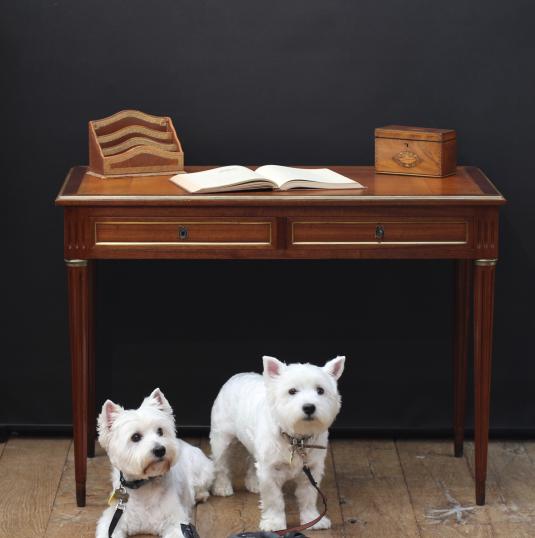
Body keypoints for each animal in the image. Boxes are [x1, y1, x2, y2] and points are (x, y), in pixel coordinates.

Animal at [96, 388, 214, 536]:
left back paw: (201, 495)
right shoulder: (113, 520)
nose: (160, 450)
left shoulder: (176, 523)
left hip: (201, 469)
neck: (144, 486)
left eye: (160, 431)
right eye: (135, 437)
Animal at [209, 354, 348, 528]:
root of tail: (238, 376)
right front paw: (274, 523)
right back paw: (222, 487)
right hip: (222, 439)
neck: (296, 439)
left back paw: (254, 483)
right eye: (292, 391)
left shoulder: (312, 469)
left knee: (252, 461)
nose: (309, 407)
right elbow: (274, 500)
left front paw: (312, 519)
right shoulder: (270, 471)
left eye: (320, 390)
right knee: (221, 464)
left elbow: (308, 496)